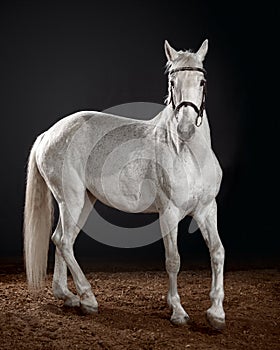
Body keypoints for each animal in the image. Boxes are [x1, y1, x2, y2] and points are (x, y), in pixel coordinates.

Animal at [23, 39, 225, 330]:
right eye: (172, 82)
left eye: (201, 81)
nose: (186, 128)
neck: (188, 154)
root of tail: (48, 133)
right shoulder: (169, 213)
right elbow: (173, 260)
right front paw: (177, 311)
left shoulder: (207, 209)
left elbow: (218, 252)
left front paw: (217, 314)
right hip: (71, 198)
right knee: (63, 240)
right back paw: (88, 299)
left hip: (84, 201)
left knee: (62, 240)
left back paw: (68, 297)